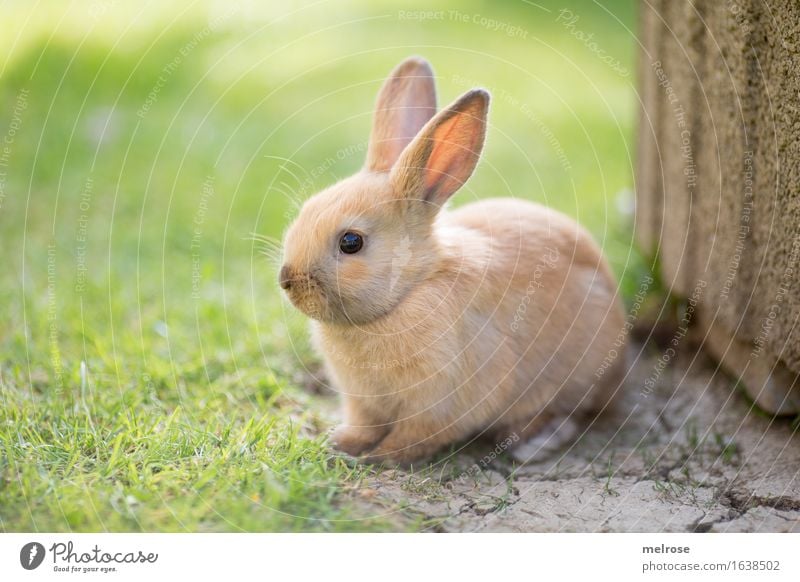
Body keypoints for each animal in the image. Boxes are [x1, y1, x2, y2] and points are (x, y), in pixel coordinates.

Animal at [280, 56, 624, 466]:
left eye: (351, 242)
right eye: (306, 210)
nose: (287, 280)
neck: (410, 291)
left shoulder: (440, 402)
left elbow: (415, 437)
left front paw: (378, 458)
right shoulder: (363, 402)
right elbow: (365, 425)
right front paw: (342, 443)